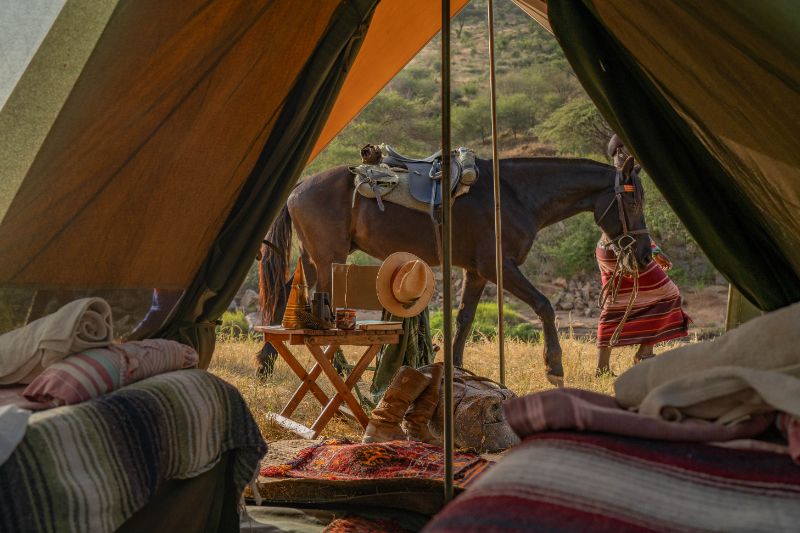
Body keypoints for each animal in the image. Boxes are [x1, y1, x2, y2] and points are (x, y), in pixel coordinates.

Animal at [260, 156, 652, 384]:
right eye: (633, 200)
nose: (646, 255)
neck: (512, 194)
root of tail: (301, 185)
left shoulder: (476, 272)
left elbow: (464, 319)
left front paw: (457, 368)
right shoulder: (498, 266)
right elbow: (544, 305)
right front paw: (554, 366)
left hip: (314, 259)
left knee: (295, 299)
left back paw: (272, 363)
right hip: (328, 257)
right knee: (319, 306)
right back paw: (334, 367)